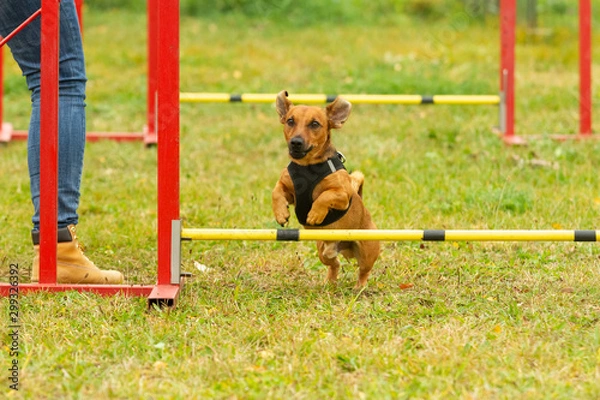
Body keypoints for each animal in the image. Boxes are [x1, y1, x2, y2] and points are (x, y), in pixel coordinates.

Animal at [272, 90, 380, 288]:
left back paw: (359, 287)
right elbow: (276, 192)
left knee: (364, 270)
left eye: (315, 124)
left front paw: (315, 214)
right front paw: (281, 213)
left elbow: (325, 196)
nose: (296, 142)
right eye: (290, 121)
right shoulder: (289, 191)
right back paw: (330, 281)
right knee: (334, 264)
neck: (307, 166)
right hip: (322, 250)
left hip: (367, 251)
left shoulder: (342, 195)